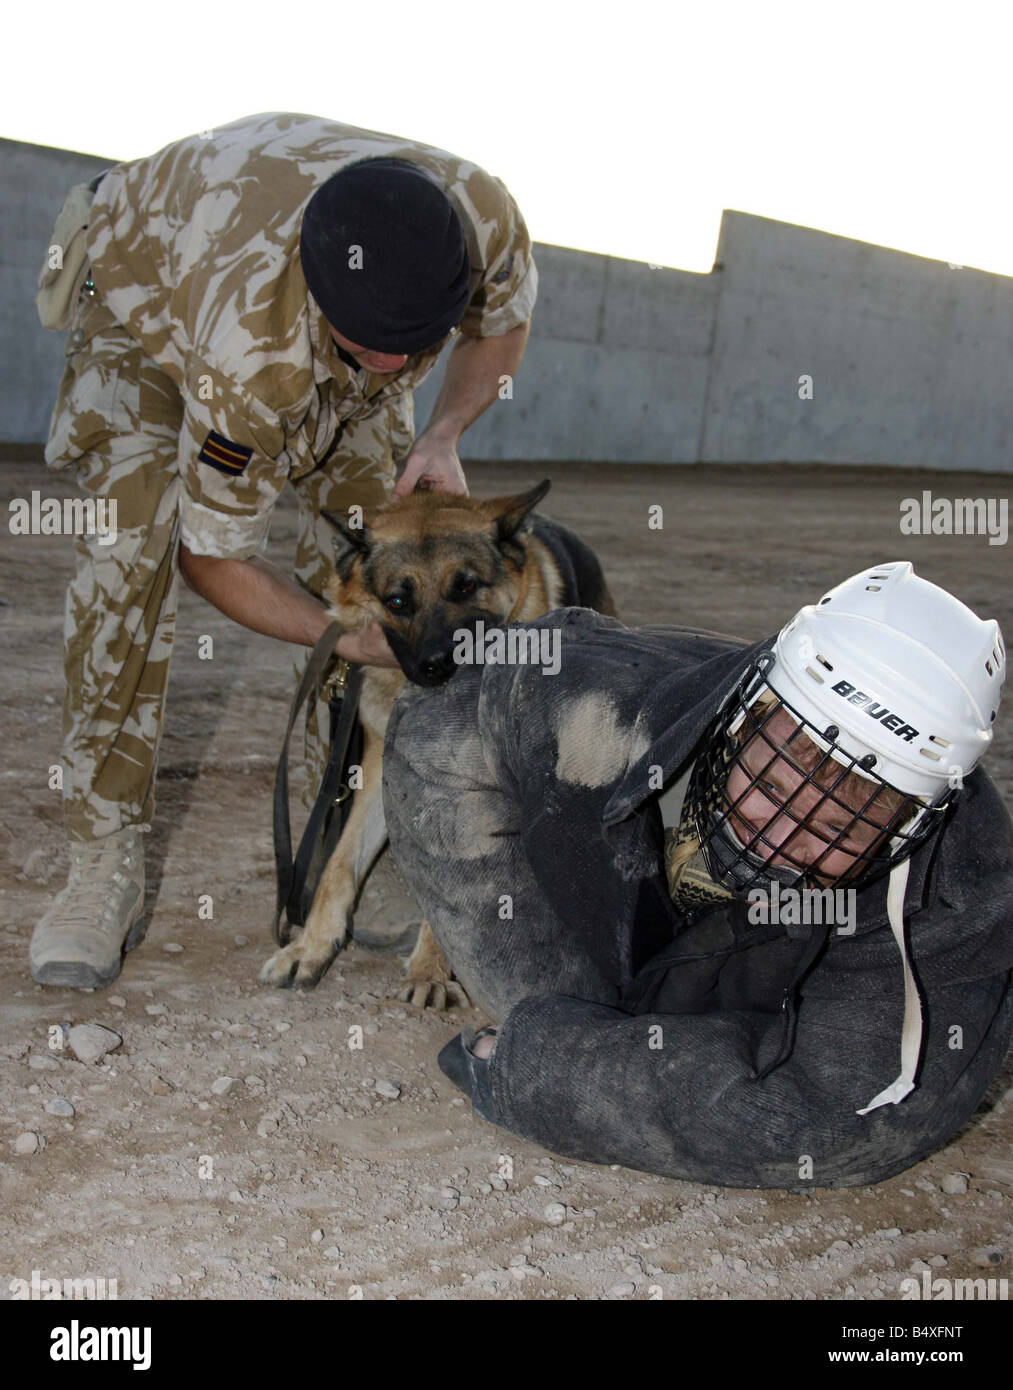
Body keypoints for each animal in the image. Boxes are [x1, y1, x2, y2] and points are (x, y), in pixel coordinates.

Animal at [258, 478, 616, 1000]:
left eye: (465, 586)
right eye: (398, 601)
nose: (436, 665)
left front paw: (431, 968)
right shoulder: (380, 776)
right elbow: (338, 866)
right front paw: (310, 947)